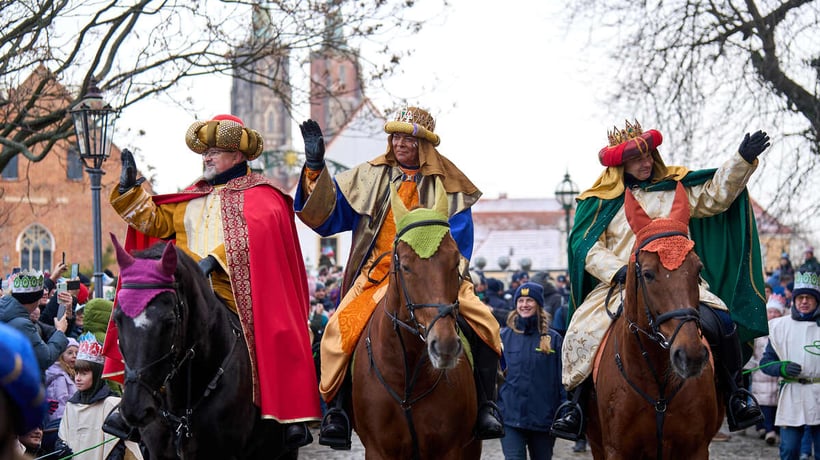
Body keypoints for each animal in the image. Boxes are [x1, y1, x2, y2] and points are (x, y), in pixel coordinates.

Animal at [351, 182, 481, 459]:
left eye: (455, 261)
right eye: (406, 266)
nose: (444, 346)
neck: (406, 378)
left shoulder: (451, 449)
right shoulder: (378, 449)